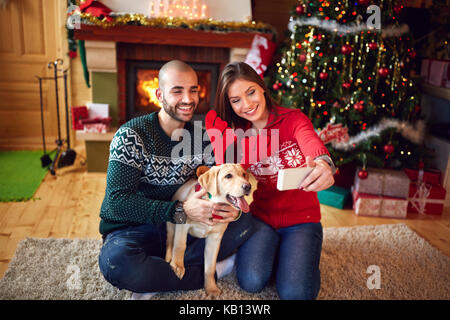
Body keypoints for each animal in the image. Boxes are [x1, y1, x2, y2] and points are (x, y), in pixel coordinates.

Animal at [165, 165, 251, 298]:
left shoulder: (214, 240)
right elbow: (180, 245)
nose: (248, 187)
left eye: (244, 175)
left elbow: (210, 267)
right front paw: (178, 265)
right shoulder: (183, 225)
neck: (213, 204)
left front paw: (211, 288)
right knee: (170, 240)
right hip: (171, 225)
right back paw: (169, 257)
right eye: (228, 176)